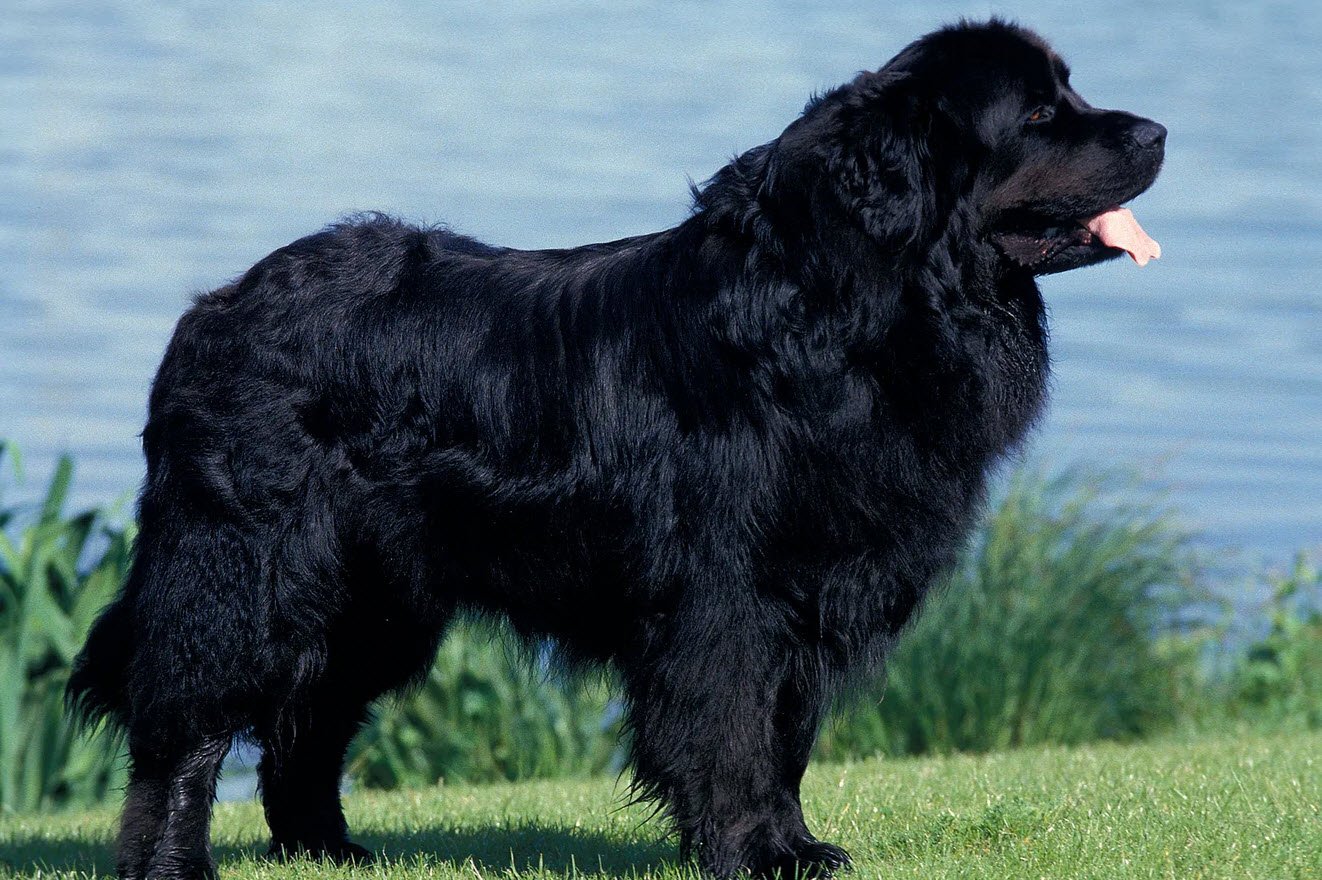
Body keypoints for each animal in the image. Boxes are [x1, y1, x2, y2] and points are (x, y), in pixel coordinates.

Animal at [72, 18, 1168, 877]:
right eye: (1038, 116)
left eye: (1069, 95)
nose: (1157, 129)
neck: (838, 310)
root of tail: (215, 308)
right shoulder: (728, 590)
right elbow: (731, 726)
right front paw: (750, 851)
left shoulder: (805, 590)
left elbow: (785, 733)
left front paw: (793, 845)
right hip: (246, 568)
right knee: (186, 725)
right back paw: (173, 862)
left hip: (376, 596)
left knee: (310, 716)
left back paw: (328, 849)